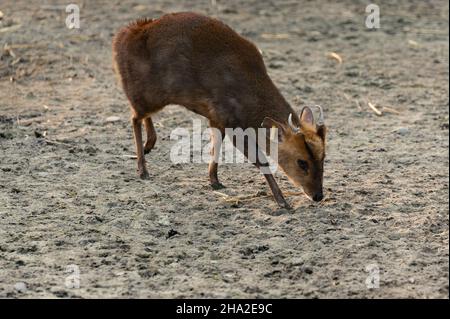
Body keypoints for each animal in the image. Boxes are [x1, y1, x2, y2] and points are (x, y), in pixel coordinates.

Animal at [110, 11, 326, 210]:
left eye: (323, 157)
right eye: (302, 162)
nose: (318, 196)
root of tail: (122, 35)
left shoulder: (217, 118)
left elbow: (216, 147)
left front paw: (214, 180)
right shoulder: (231, 121)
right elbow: (260, 160)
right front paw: (282, 201)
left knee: (141, 115)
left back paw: (150, 144)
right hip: (146, 92)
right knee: (134, 117)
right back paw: (142, 168)